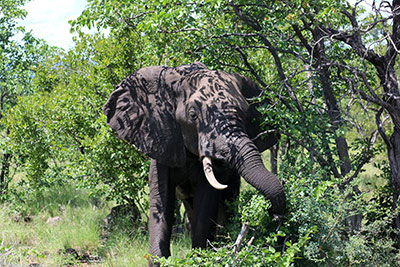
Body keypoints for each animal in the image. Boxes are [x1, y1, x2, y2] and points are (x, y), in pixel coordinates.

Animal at [101, 62, 286, 264]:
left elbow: (206, 204)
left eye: (245, 114)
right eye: (193, 115)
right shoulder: (162, 139)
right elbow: (160, 201)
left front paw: (199, 257)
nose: (275, 214)